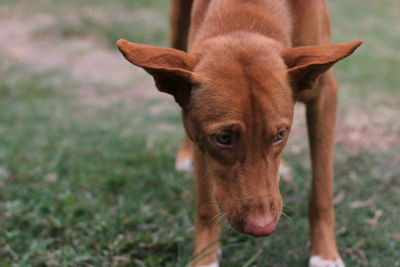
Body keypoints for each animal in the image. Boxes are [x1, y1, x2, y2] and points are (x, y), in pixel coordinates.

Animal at [116, 1, 362, 266]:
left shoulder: (325, 96)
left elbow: (322, 190)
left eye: (280, 135)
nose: (262, 228)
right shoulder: (201, 137)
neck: (247, 14)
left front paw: (324, 253)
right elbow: (205, 204)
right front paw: (205, 257)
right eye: (223, 138)